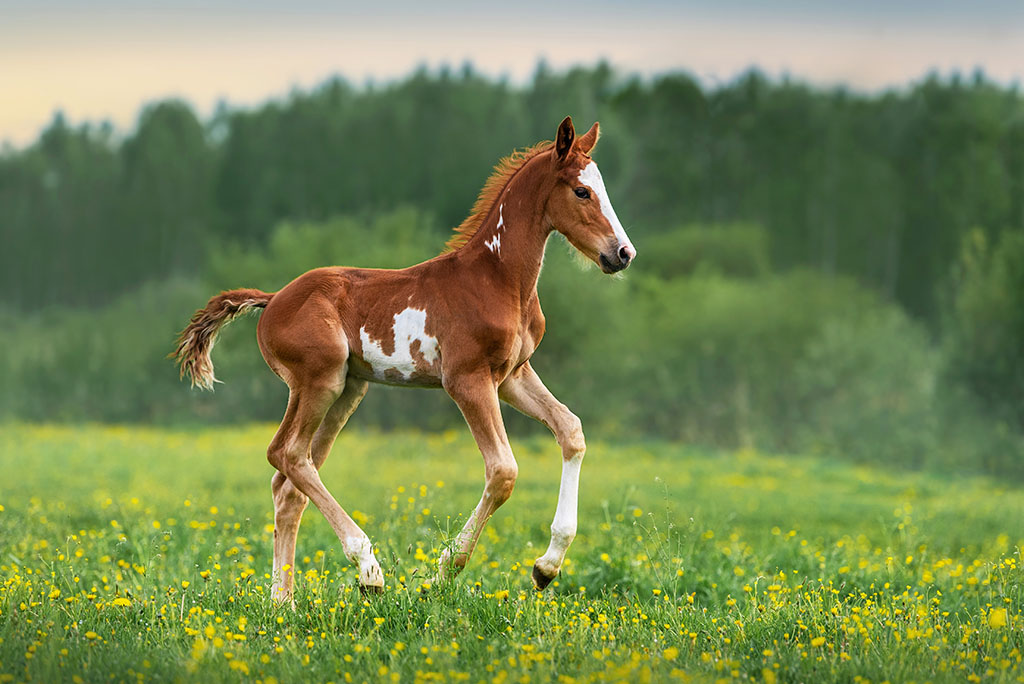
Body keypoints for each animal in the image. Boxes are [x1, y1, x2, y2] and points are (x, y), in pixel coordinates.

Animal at [175, 116, 634, 597]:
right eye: (581, 191)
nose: (622, 253)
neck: (497, 279)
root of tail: (272, 299)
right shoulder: (467, 379)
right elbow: (503, 471)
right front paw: (441, 572)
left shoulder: (512, 375)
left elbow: (571, 430)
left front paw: (546, 567)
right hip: (318, 381)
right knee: (287, 454)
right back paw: (368, 570)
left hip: (348, 390)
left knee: (288, 483)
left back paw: (285, 602)